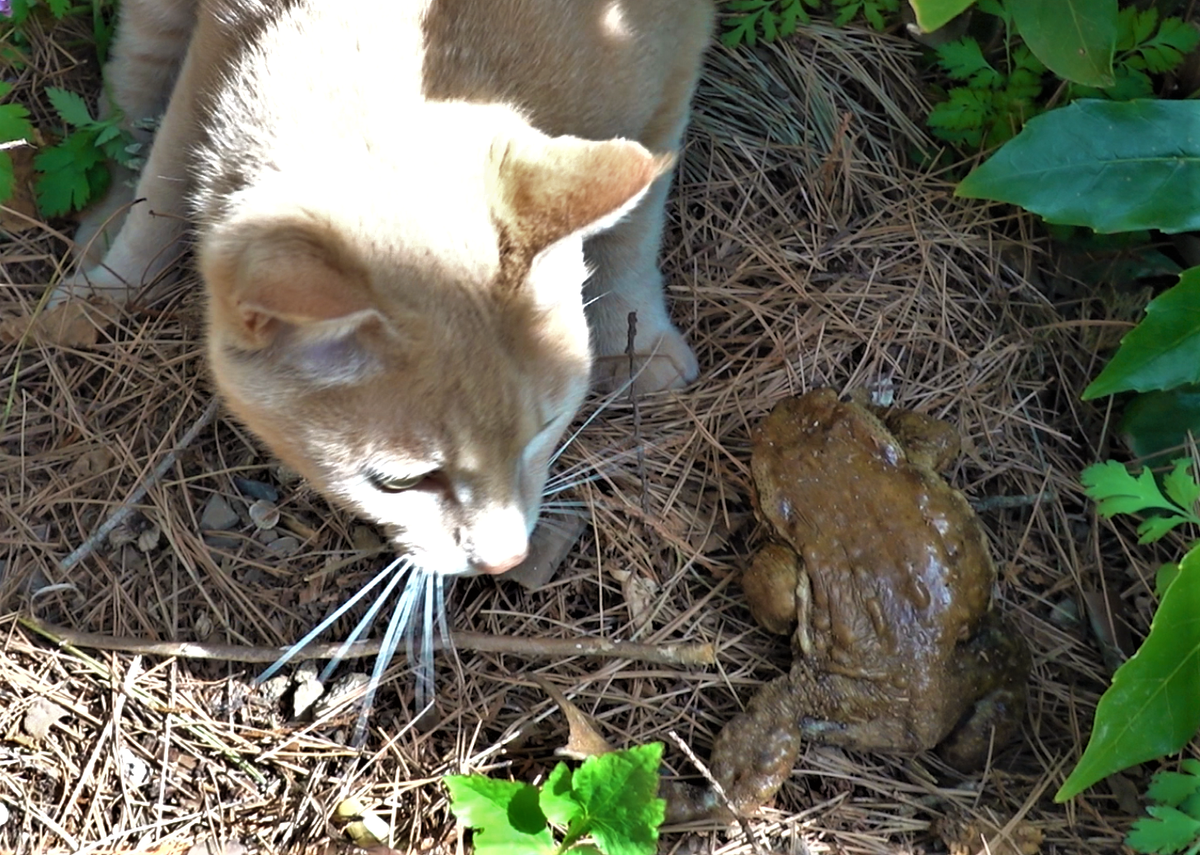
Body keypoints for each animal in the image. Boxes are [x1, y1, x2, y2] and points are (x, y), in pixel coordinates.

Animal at [58, 0, 710, 578]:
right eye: (401, 482)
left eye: (546, 429)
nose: (505, 560)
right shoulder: (217, 41)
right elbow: (163, 176)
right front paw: (106, 290)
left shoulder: (676, 47)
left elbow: (637, 220)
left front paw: (638, 340)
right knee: (129, 91)